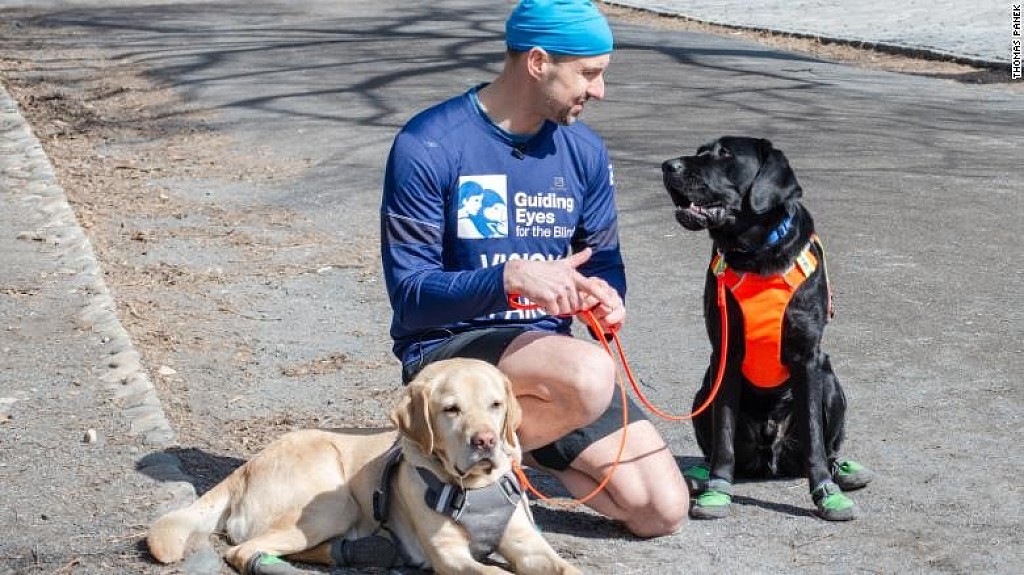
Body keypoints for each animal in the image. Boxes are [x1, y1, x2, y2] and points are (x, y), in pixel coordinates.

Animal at [147, 358, 581, 574]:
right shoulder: (449, 556)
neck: (474, 488)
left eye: (496, 405)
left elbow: (567, 570)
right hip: (331, 504)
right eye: (451, 409)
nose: (486, 441)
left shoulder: (526, 543)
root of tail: (245, 468)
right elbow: (494, 573)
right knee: (243, 552)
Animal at [661, 136, 872, 521]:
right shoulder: (725, 355)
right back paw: (700, 475)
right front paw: (718, 489)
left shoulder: (807, 357)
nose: (668, 166)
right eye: (699, 151)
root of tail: (770, 455)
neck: (756, 254)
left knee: (829, 447)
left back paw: (841, 472)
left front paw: (824, 492)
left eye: (725, 153)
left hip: (831, 382)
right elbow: (724, 434)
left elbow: (815, 438)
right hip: (703, 390)